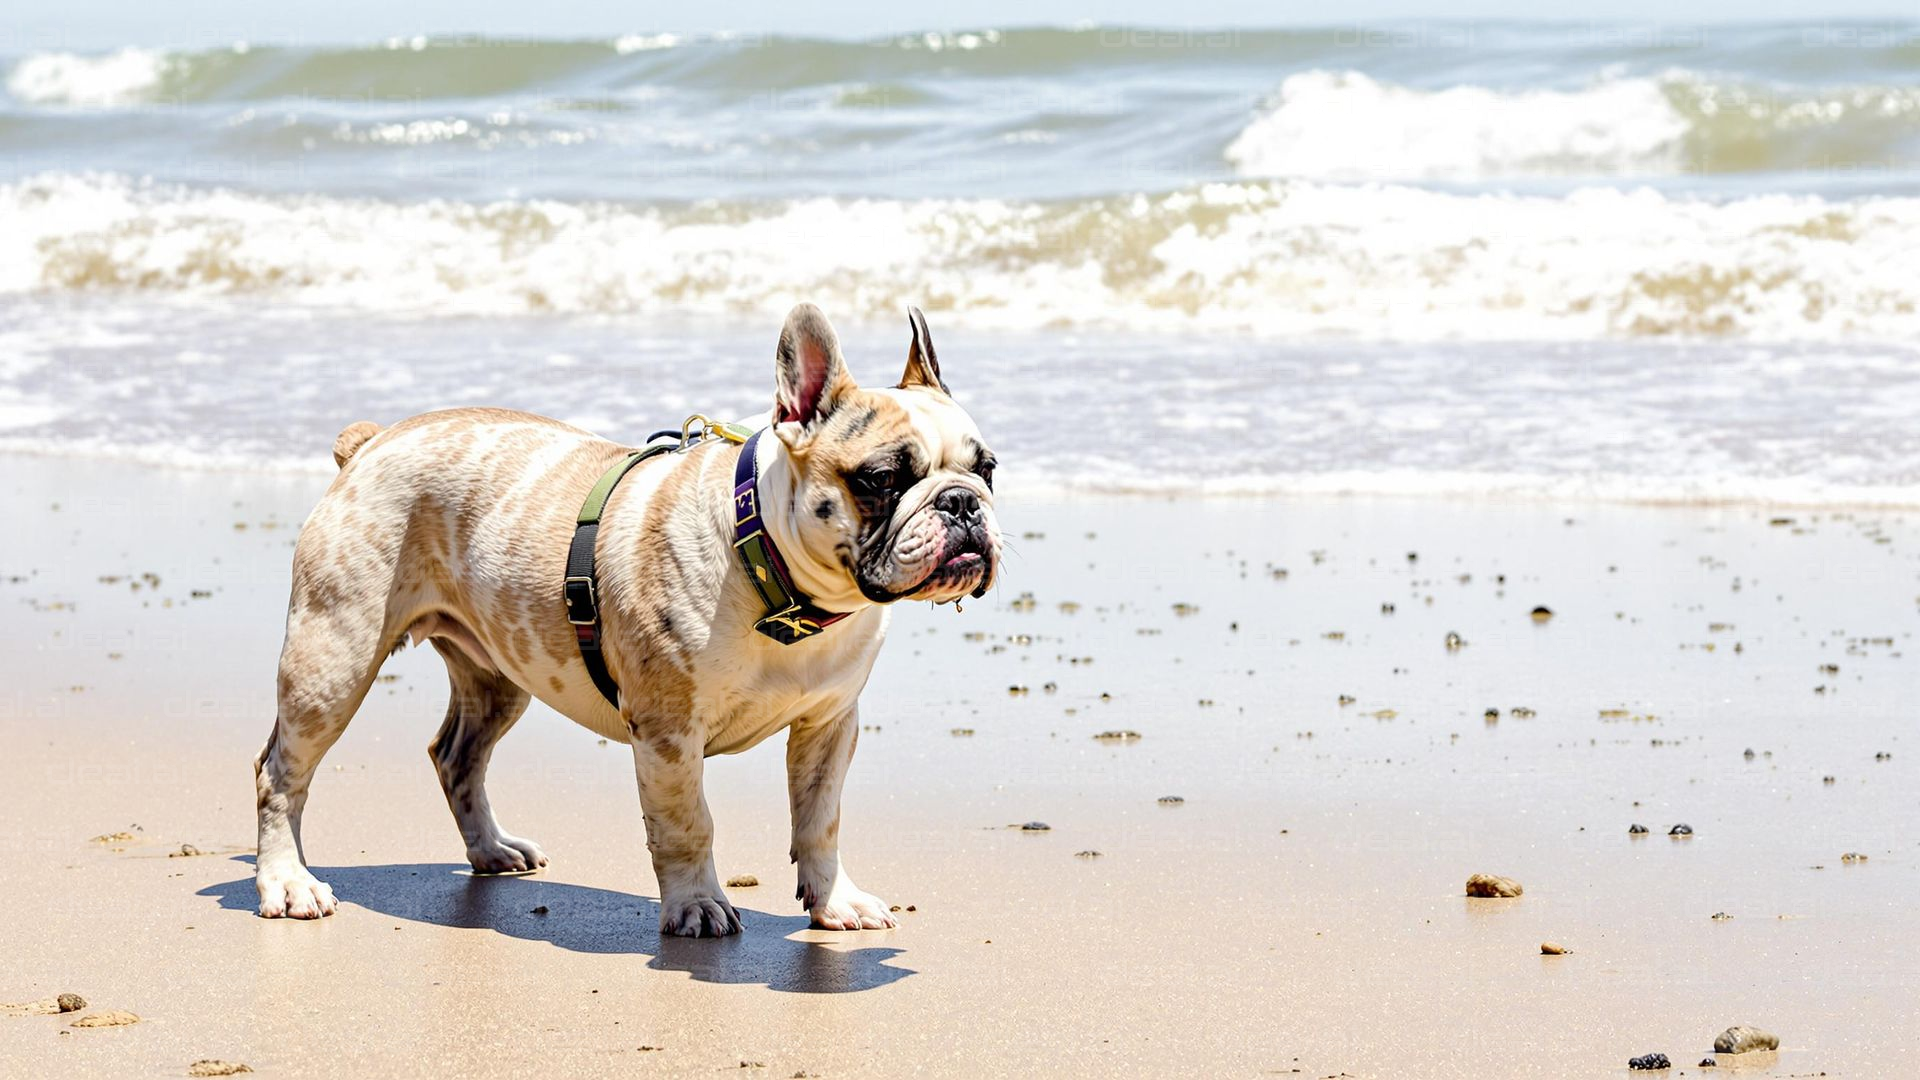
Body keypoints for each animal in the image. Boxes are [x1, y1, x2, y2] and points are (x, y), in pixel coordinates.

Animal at [251, 305, 1006, 933]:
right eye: (880, 479)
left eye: (989, 468)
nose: (962, 503)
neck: (778, 581)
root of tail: (370, 445)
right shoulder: (668, 735)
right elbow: (687, 824)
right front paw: (697, 906)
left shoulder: (828, 727)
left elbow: (820, 823)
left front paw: (835, 901)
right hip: (333, 660)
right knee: (279, 774)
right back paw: (288, 884)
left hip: (498, 675)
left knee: (456, 755)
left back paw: (491, 849)